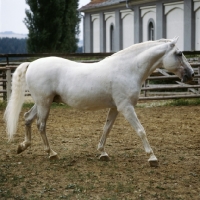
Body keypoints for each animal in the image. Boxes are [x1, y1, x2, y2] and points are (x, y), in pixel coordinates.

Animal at [3, 38, 194, 167]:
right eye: (179, 54)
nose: (191, 74)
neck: (128, 69)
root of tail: (32, 64)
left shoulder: (116, 108)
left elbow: (106, 129)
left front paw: (102, 153)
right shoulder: (126, 107)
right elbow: (141, 131)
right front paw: (152, 157)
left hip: (42, 102)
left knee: (27, 118)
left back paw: (23, 146)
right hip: (44, 103)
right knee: (40, 125)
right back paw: (52, 154)